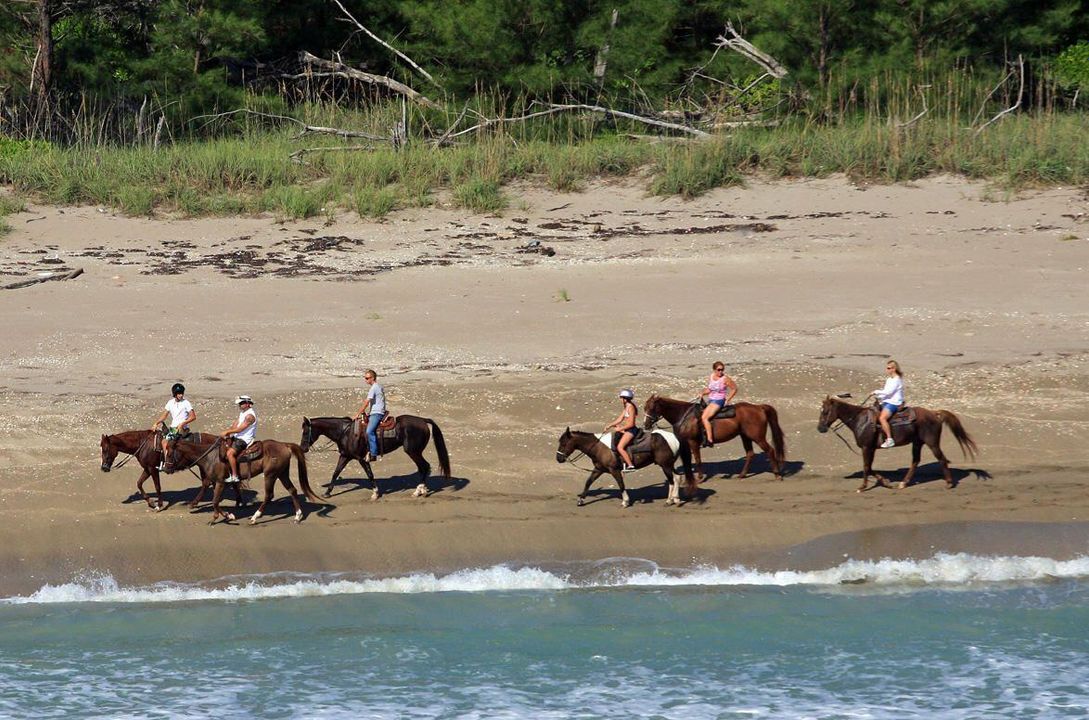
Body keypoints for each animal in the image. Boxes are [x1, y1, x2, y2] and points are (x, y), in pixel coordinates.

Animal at [298, 411, 450, 496]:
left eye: (305, 432)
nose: (303, 448)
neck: (345, 432)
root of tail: (423, 420)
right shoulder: (345, 456)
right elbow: (336, 473)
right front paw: (327, 493)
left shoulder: (361, 458)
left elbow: (370, 474)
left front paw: (375, 493)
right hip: (415, 452)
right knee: (423, 468)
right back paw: (420, 490)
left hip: (413, 452)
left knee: (424, 467)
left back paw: (419, 491)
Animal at [553, 426, 688, 505]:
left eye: (564, 443)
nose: (558, 458)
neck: (598, 447)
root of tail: (674, 438)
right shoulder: (598, 469)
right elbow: (588, 482)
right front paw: (581, 499)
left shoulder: (614, 470)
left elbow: (620, 484)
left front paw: (625, 501)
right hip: (669, 464)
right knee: (677, 477)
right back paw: (676, 498)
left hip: (665, 465)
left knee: (672, 480)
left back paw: (669, 500)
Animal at [640, 392, 788, 483]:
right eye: (644, 407)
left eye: (651, 407)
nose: (645, 424)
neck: (684, 415)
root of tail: (759, 407)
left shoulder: (693, 442)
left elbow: (698, 459)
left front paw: (699, 478)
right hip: (745, 436)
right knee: (750, 454)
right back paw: (742, 475)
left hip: (757, 437)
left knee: (770, 450)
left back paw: (777, 474)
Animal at [818, 396, 980, 492]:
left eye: (825, 412)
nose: (820, 428)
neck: (860, 420)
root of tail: (935, 413)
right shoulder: (871, 448)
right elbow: (869, 467)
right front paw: (885, 482)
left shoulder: (866, 447)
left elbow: (866, 467)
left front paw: (863, 487)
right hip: (917, 443)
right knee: (915, 461)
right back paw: (904, 483)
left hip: (932, 443)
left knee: (941, 459)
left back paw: (949, 483)